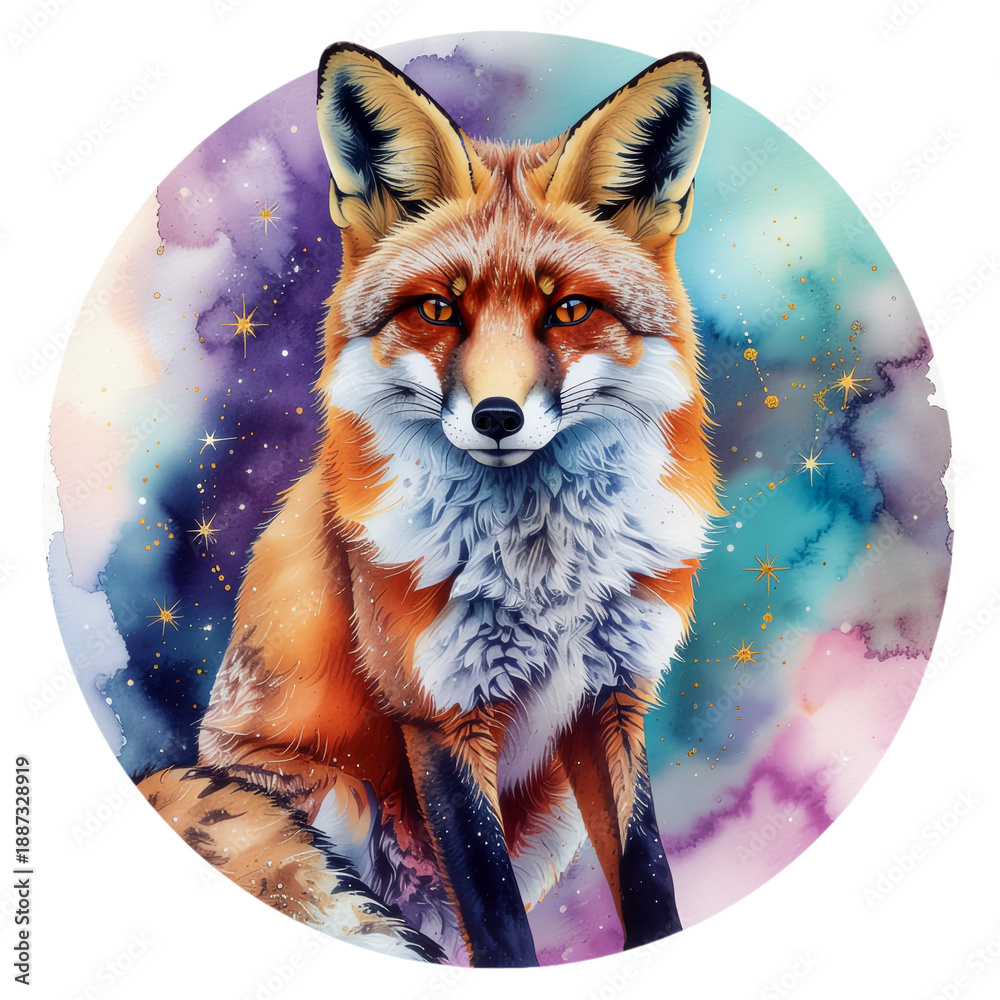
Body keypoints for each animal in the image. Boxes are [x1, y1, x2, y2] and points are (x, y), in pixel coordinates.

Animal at [138, 42, 722, 967]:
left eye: (569, 311)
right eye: (440, 309)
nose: (497, 417)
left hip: (549, 820)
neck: (542, 572)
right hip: (337, 800)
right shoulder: (439, 716)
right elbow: (502, 928)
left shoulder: (613, 695)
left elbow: (649, 883)